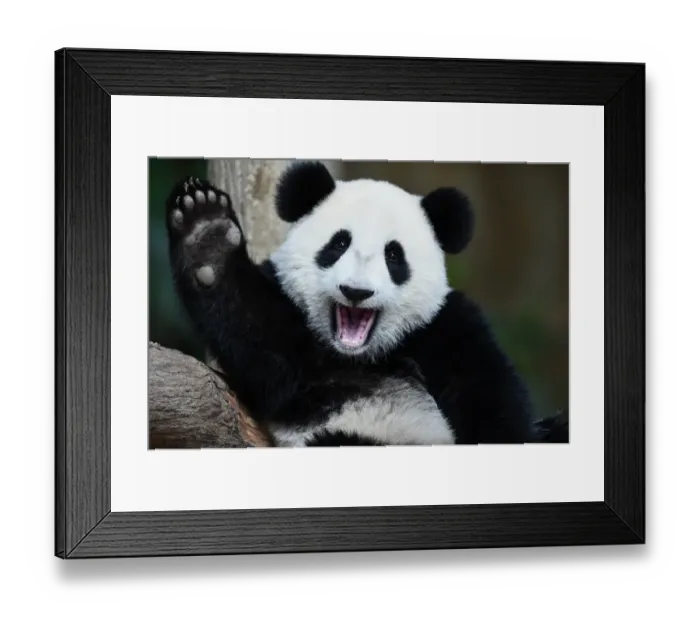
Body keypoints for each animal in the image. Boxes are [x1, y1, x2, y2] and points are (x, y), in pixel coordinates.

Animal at [165, 161, 562, 447]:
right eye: (339, 244)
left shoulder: (445, 326)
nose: (356, 291)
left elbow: (489, 397)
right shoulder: (293, 346)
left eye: (393, 255)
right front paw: (207, 235)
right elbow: (259, 339)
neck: (361, 357)